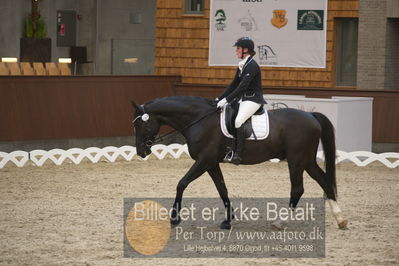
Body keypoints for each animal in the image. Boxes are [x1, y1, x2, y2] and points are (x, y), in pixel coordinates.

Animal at [130, 96, 346, 230]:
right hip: (306, 160)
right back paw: (341, 219)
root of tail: (311, 115)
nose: (141, 151)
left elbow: (181, 183)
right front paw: (228, 220)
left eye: (140, 124)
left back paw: (280, 222)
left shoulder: (204, 160)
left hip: (296, 160)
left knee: (298, 189)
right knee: (325, 182)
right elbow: (222, 189)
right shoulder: (211, 163)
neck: (199, 120)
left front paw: (175, 218)